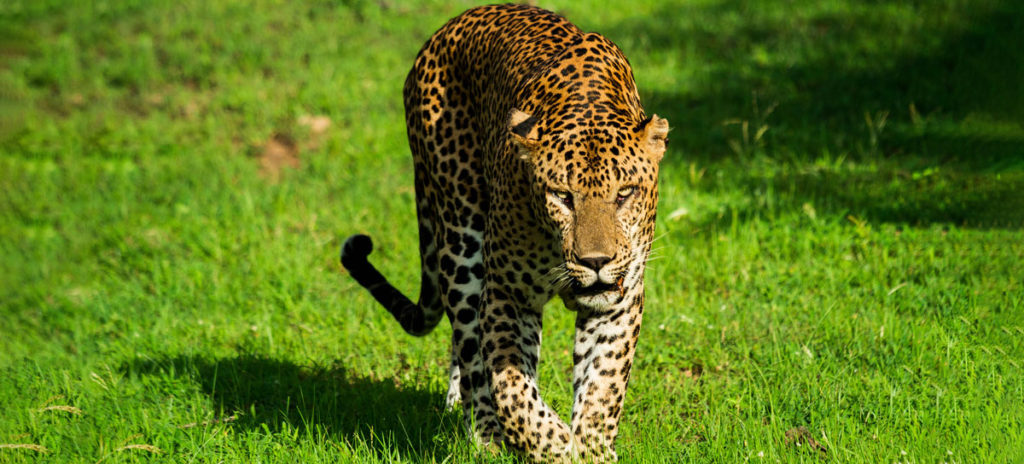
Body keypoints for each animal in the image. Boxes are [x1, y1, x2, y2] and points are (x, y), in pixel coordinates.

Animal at [340, 4, 668, 462]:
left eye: (624, 193)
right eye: (562, 196)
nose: (595, 262)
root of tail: (450, 26)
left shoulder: (619, 303)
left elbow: (603, 387)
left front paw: (591, 449)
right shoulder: (506, 293)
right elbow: (510, 388)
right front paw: (554, 445)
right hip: (462, 245)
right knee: (472, 354)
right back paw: (485, 436)